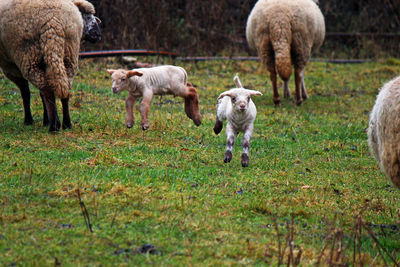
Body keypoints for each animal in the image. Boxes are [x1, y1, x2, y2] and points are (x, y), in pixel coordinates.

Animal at [0, 0, 101, 132]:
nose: (98, 34)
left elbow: (25, 92)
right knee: (64, 88)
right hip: (68, 52)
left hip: (28, 55)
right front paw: (45, 120)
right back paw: (66, 124)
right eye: (86, 16)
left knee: (47, 90)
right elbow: (38, 94)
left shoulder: (10, 65)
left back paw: (54, 126)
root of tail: (53, 20)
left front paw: (29, 120)